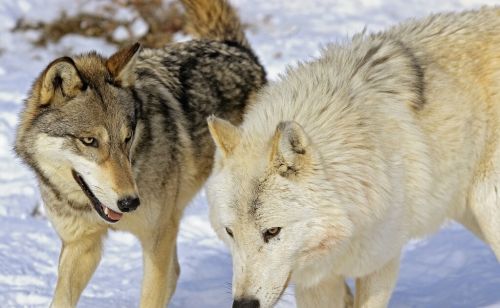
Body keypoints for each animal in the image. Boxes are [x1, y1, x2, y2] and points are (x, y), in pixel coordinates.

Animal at [13, 0, 266, 306]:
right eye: (89, 141)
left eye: (127, 138)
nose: (130, 203)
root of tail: (235, 48)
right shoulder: (80, 245)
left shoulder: (156, 241)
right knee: (176, 271)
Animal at [205, 5, 500, 308]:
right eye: (230, 232)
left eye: (272, 232)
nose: (244, 304)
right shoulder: (317, 282)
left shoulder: (380, 261)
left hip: (487, 207)